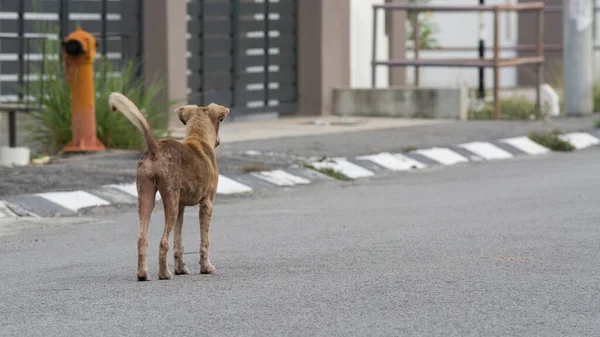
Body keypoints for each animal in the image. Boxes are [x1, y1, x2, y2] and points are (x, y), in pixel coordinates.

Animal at [108, 90, 230, 280]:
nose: (218, 140)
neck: (199, 138)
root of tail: (155, 148)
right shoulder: (207, 204)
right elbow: (205, 241)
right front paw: (206, 268)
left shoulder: (181, 207)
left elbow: (178, 242)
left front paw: (181, 269)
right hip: (170, 201)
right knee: (163, 241)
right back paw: (164, 273)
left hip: (147, 197)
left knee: (142, 239)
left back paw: (143, 274)